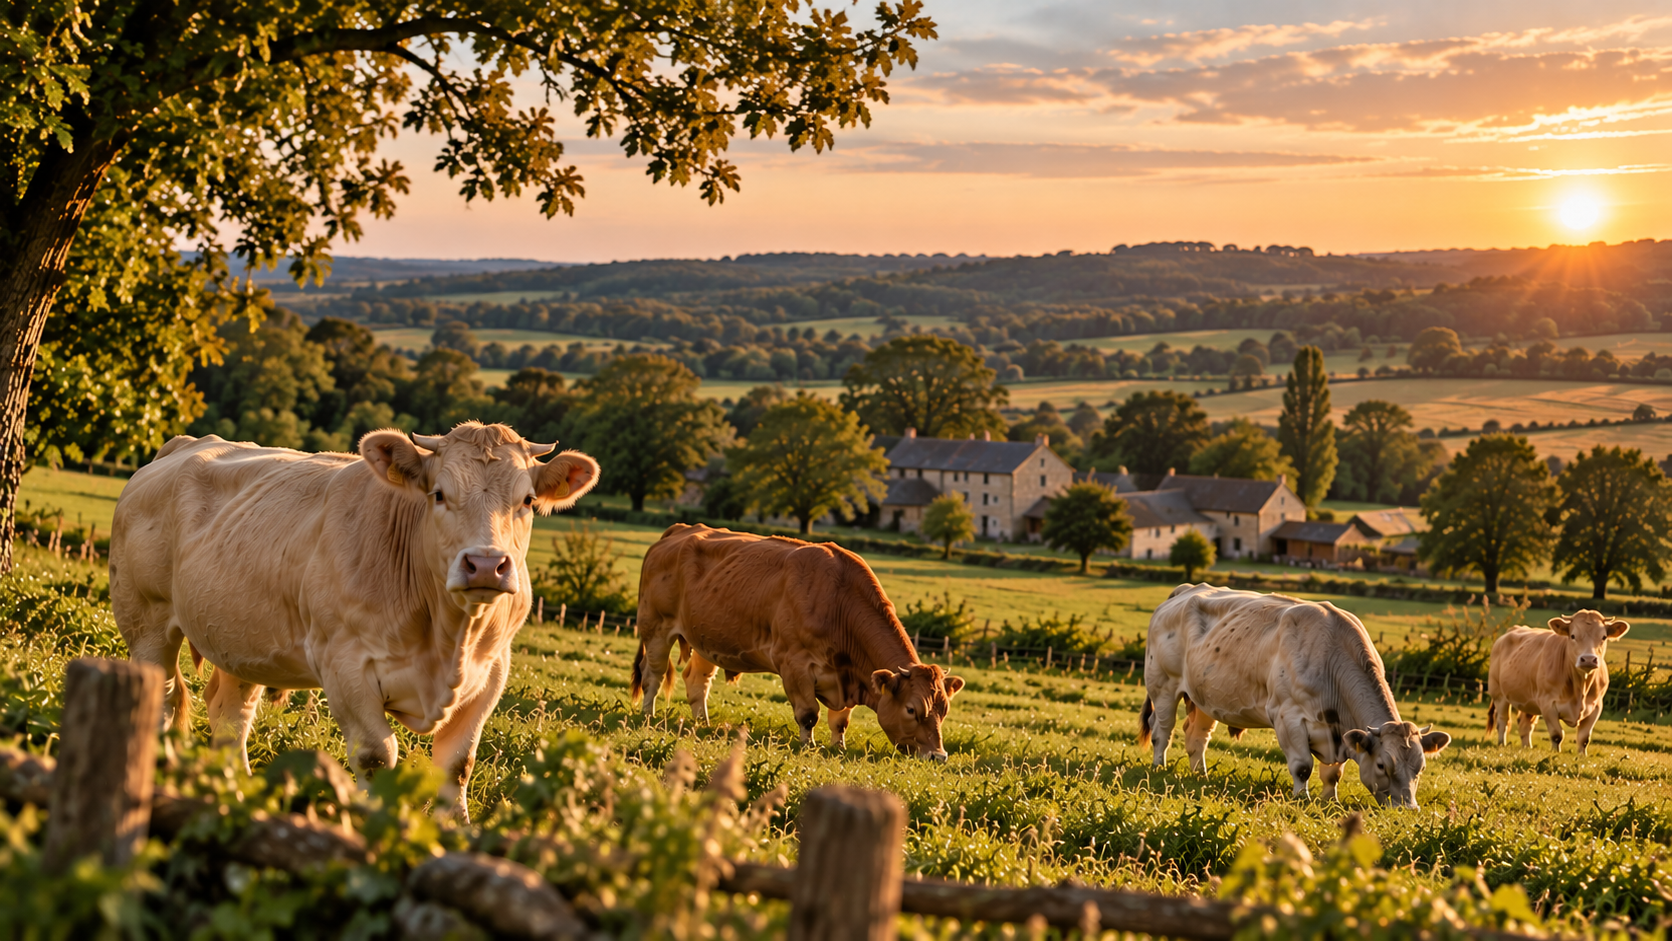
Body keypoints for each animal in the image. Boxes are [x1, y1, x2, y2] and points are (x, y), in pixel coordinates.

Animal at [109, 422, 598, 817]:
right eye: (439, 494)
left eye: (527, 500)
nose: (485, 565)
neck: (448, 639)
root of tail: (184, 443)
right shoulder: (345, 665)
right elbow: (376, 756)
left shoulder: (492, 672)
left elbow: (457, 766)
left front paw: (455, 835)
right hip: (146, 623)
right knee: (161, 701)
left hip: (241, 640)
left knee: (231, 716)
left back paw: (238, 793)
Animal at [631, 524, 964, 760]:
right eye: (911, 709)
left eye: (944, 710)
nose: (938, 756)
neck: (839, 600)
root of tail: (680, 529)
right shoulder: (794, 664)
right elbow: (808, 714)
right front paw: (809, 746)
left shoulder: (846, 678)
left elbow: (840, 721)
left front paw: (838, 748)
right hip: (655, 626)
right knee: (653, 675)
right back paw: (647, 715)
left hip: (706, 637)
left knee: (696, 680)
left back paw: (703, 724)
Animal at [1140, 584, 1451, 808]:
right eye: (1382, 765)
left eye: (1420, 767)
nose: (1409, 808)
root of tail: (1187, 589)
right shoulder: (1287, 716)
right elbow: (1302, 766)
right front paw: (1302, 799)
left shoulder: (1338, 730)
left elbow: (1333, 773)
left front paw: (1329, 800)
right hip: (1162, 685)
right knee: (1162, 730)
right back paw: (1158, 767)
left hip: (1204, 696)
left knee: (1197, 736)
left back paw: (1200, 775)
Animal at [1487, 610, 1629, 755]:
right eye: (1573, 636)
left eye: (1604, 637)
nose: (1588, 659)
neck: (1580, 689)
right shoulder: (1547, 704)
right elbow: (1557, 735)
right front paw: (1556, 753)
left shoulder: (1596, 706)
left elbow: (1584, 738)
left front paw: (1582, 756)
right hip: (1499, 693)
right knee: (1503, 721)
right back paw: (1501, 744)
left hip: (1529, 701)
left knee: (1525, 725)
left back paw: (1527, 747)